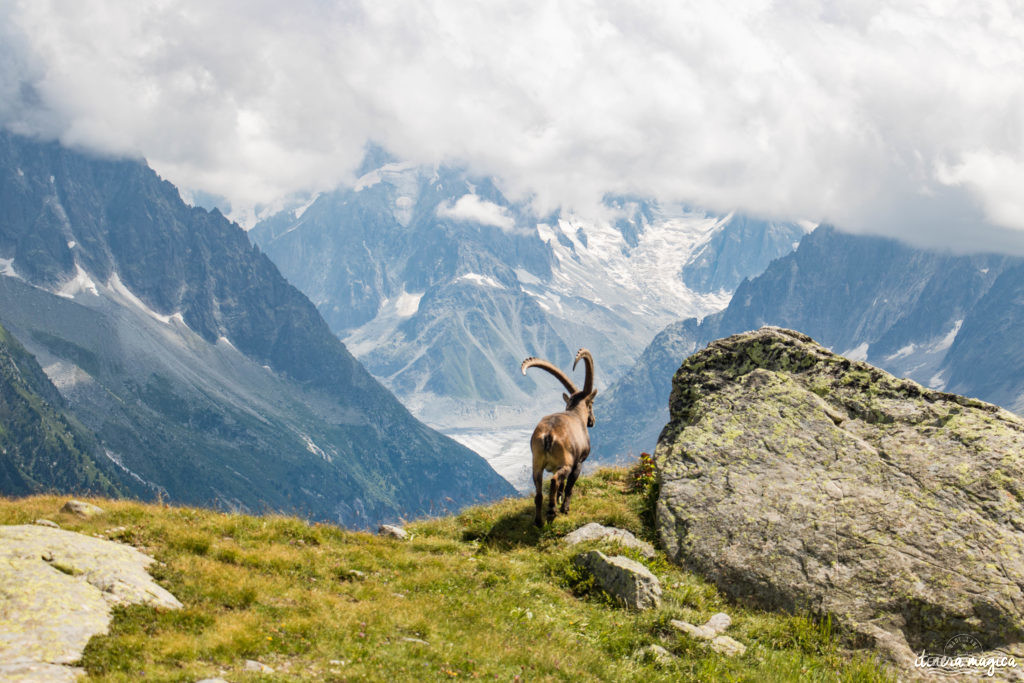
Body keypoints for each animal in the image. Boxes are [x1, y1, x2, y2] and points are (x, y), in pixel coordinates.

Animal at [524, 350, 598, 528]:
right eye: (592, 403)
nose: (592, 421)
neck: (575, 413)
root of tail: (548, 435)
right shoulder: (578, 463)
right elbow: (569, 487)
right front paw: (565, 508)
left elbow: (562, 486)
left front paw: (558, 500)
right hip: (566, 463)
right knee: (554, 480)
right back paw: (552, 512)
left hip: (537, 463)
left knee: (539, 492)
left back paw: (539, 521)